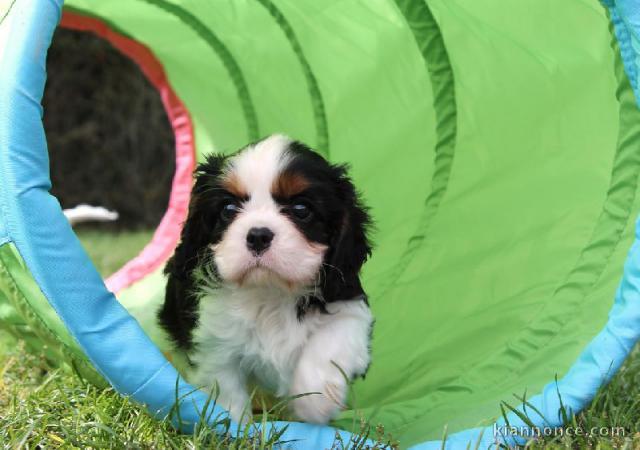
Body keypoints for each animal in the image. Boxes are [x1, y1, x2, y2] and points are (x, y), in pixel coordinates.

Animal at [157, 135, 372, 424]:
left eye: (301, 209)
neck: (269, 292)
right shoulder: (214, 343)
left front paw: (315, 401)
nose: (258, 235)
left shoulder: (348, 303)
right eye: (228, 209)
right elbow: (225, 390)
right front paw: (233, 426)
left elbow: (331, 341)